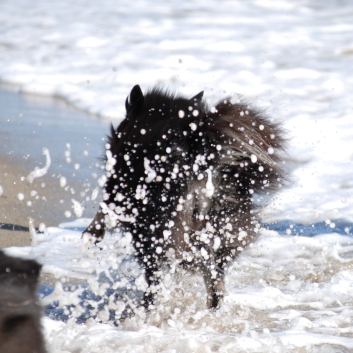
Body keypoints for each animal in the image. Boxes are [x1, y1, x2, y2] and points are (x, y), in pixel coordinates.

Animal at [83, 85, 286, 308]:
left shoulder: (120, 187)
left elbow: (105, 207)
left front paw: (91, 234)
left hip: (159, 231)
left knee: (161, 274)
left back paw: (146, 305)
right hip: (226, 226)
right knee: (214, 276)